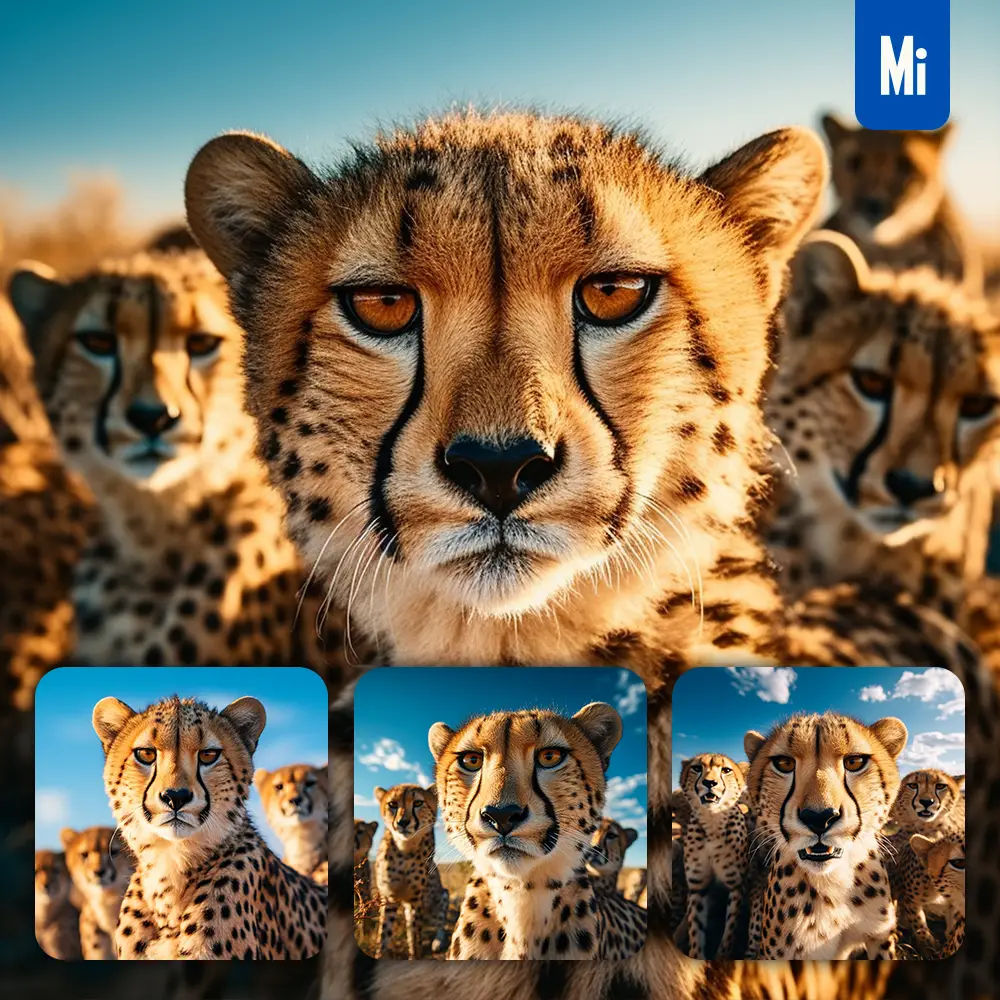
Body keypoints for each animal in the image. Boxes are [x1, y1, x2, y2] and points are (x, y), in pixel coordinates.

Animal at [368, 782, 448, 959]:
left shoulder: (416, 899)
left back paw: (438, 942)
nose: (402, 822)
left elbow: (415, 936)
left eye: (418, 803)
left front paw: (415, 956)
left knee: (440, 923)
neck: (405, 850)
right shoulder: (389, 897)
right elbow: (383, 935)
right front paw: (380, 955)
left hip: (442, 895)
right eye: (392, 804)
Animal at [676, 752, 749, 959]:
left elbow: (730, 930)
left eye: (726, 770)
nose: (710, 782)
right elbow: (695, 929)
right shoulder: (697, 887)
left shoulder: (736, 886)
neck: (713, 822)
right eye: (697, 768)